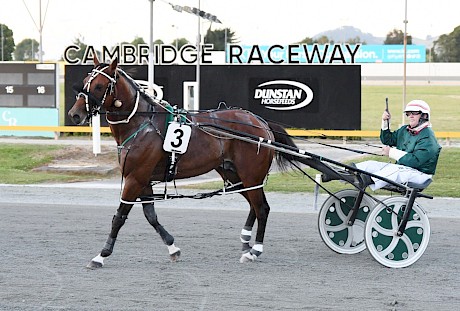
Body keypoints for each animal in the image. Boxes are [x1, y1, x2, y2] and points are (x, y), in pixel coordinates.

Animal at [66, 56, 300, 268]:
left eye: (99, 86)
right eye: (85, 81)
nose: (74, 114)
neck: (142, 123)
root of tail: (260, 121)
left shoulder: (135, 178)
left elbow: (119, 217)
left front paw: (101, 255)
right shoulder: (144, 180)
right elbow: (151, 216)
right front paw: (173, 248)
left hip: (250, 174)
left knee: (262, 208)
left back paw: (254, 251)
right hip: (234, 175)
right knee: (254, 204)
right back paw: (245, 243)